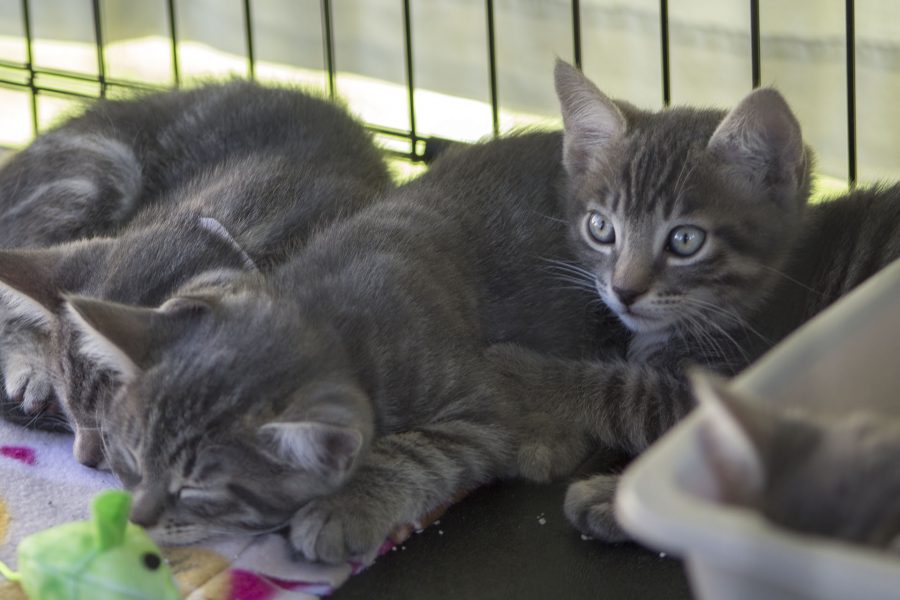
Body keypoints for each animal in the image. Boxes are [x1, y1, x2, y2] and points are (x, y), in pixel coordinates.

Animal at [59, 131, 616, 564]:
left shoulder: (486, 407)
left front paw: (344, 506)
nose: (135, 520)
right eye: (130, 459)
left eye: (195, 489)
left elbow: (419, 448)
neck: (328, 305)